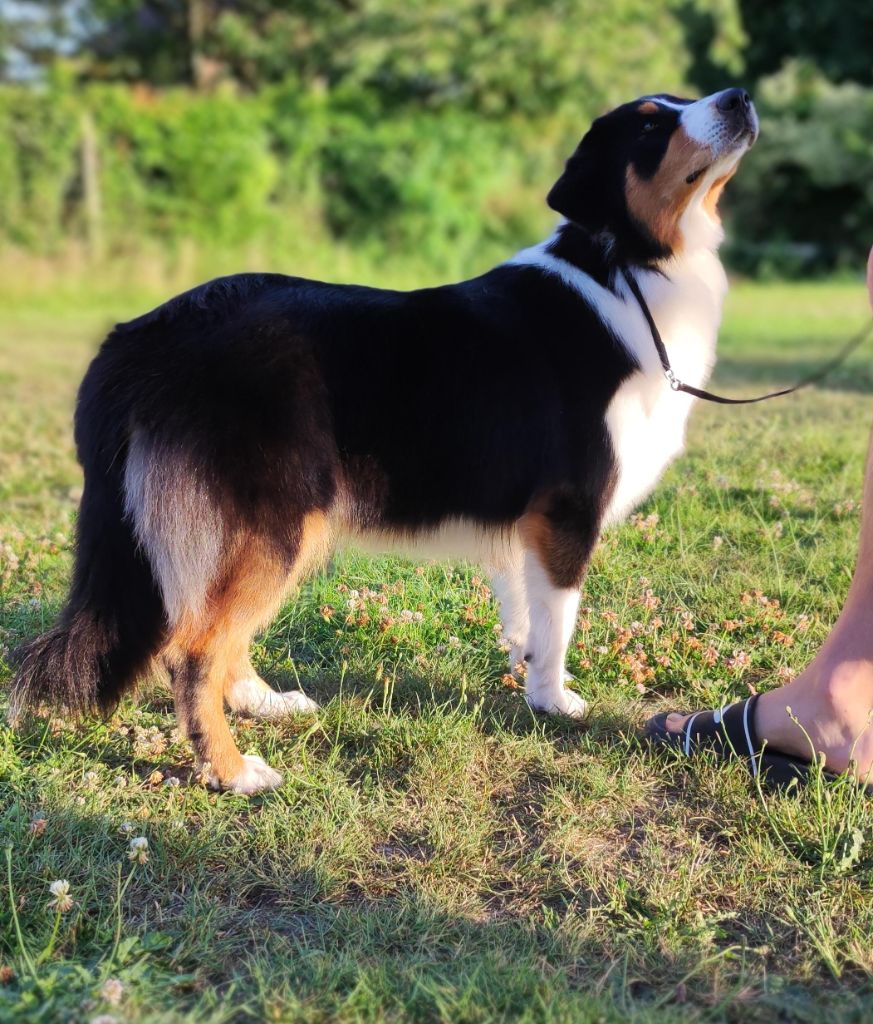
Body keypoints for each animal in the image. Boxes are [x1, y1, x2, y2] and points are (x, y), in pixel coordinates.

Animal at [8, 86, 757, 790]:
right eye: (652, 124)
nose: (739, 97)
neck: (626, 267)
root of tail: (137, 337)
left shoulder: (525, 521)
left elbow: (526, 615)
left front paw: (529, 676)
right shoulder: (568, 511)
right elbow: (559, 620)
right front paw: (553, 700)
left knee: (217, 636)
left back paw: (263, 704)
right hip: (275, 521)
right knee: (192, 649)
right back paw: (231, 770)